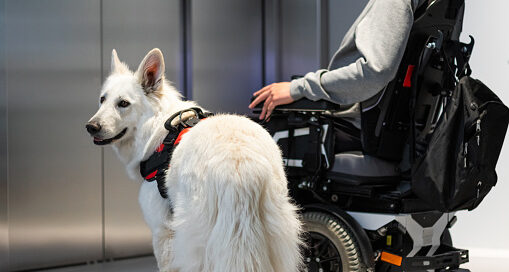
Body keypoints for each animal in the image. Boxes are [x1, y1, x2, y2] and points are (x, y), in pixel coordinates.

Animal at [85, 49, 304, 272]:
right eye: (102, 99)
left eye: (123, 104)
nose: (91, 127)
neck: (157, 129)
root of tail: (242, 168)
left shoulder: (162, 231)